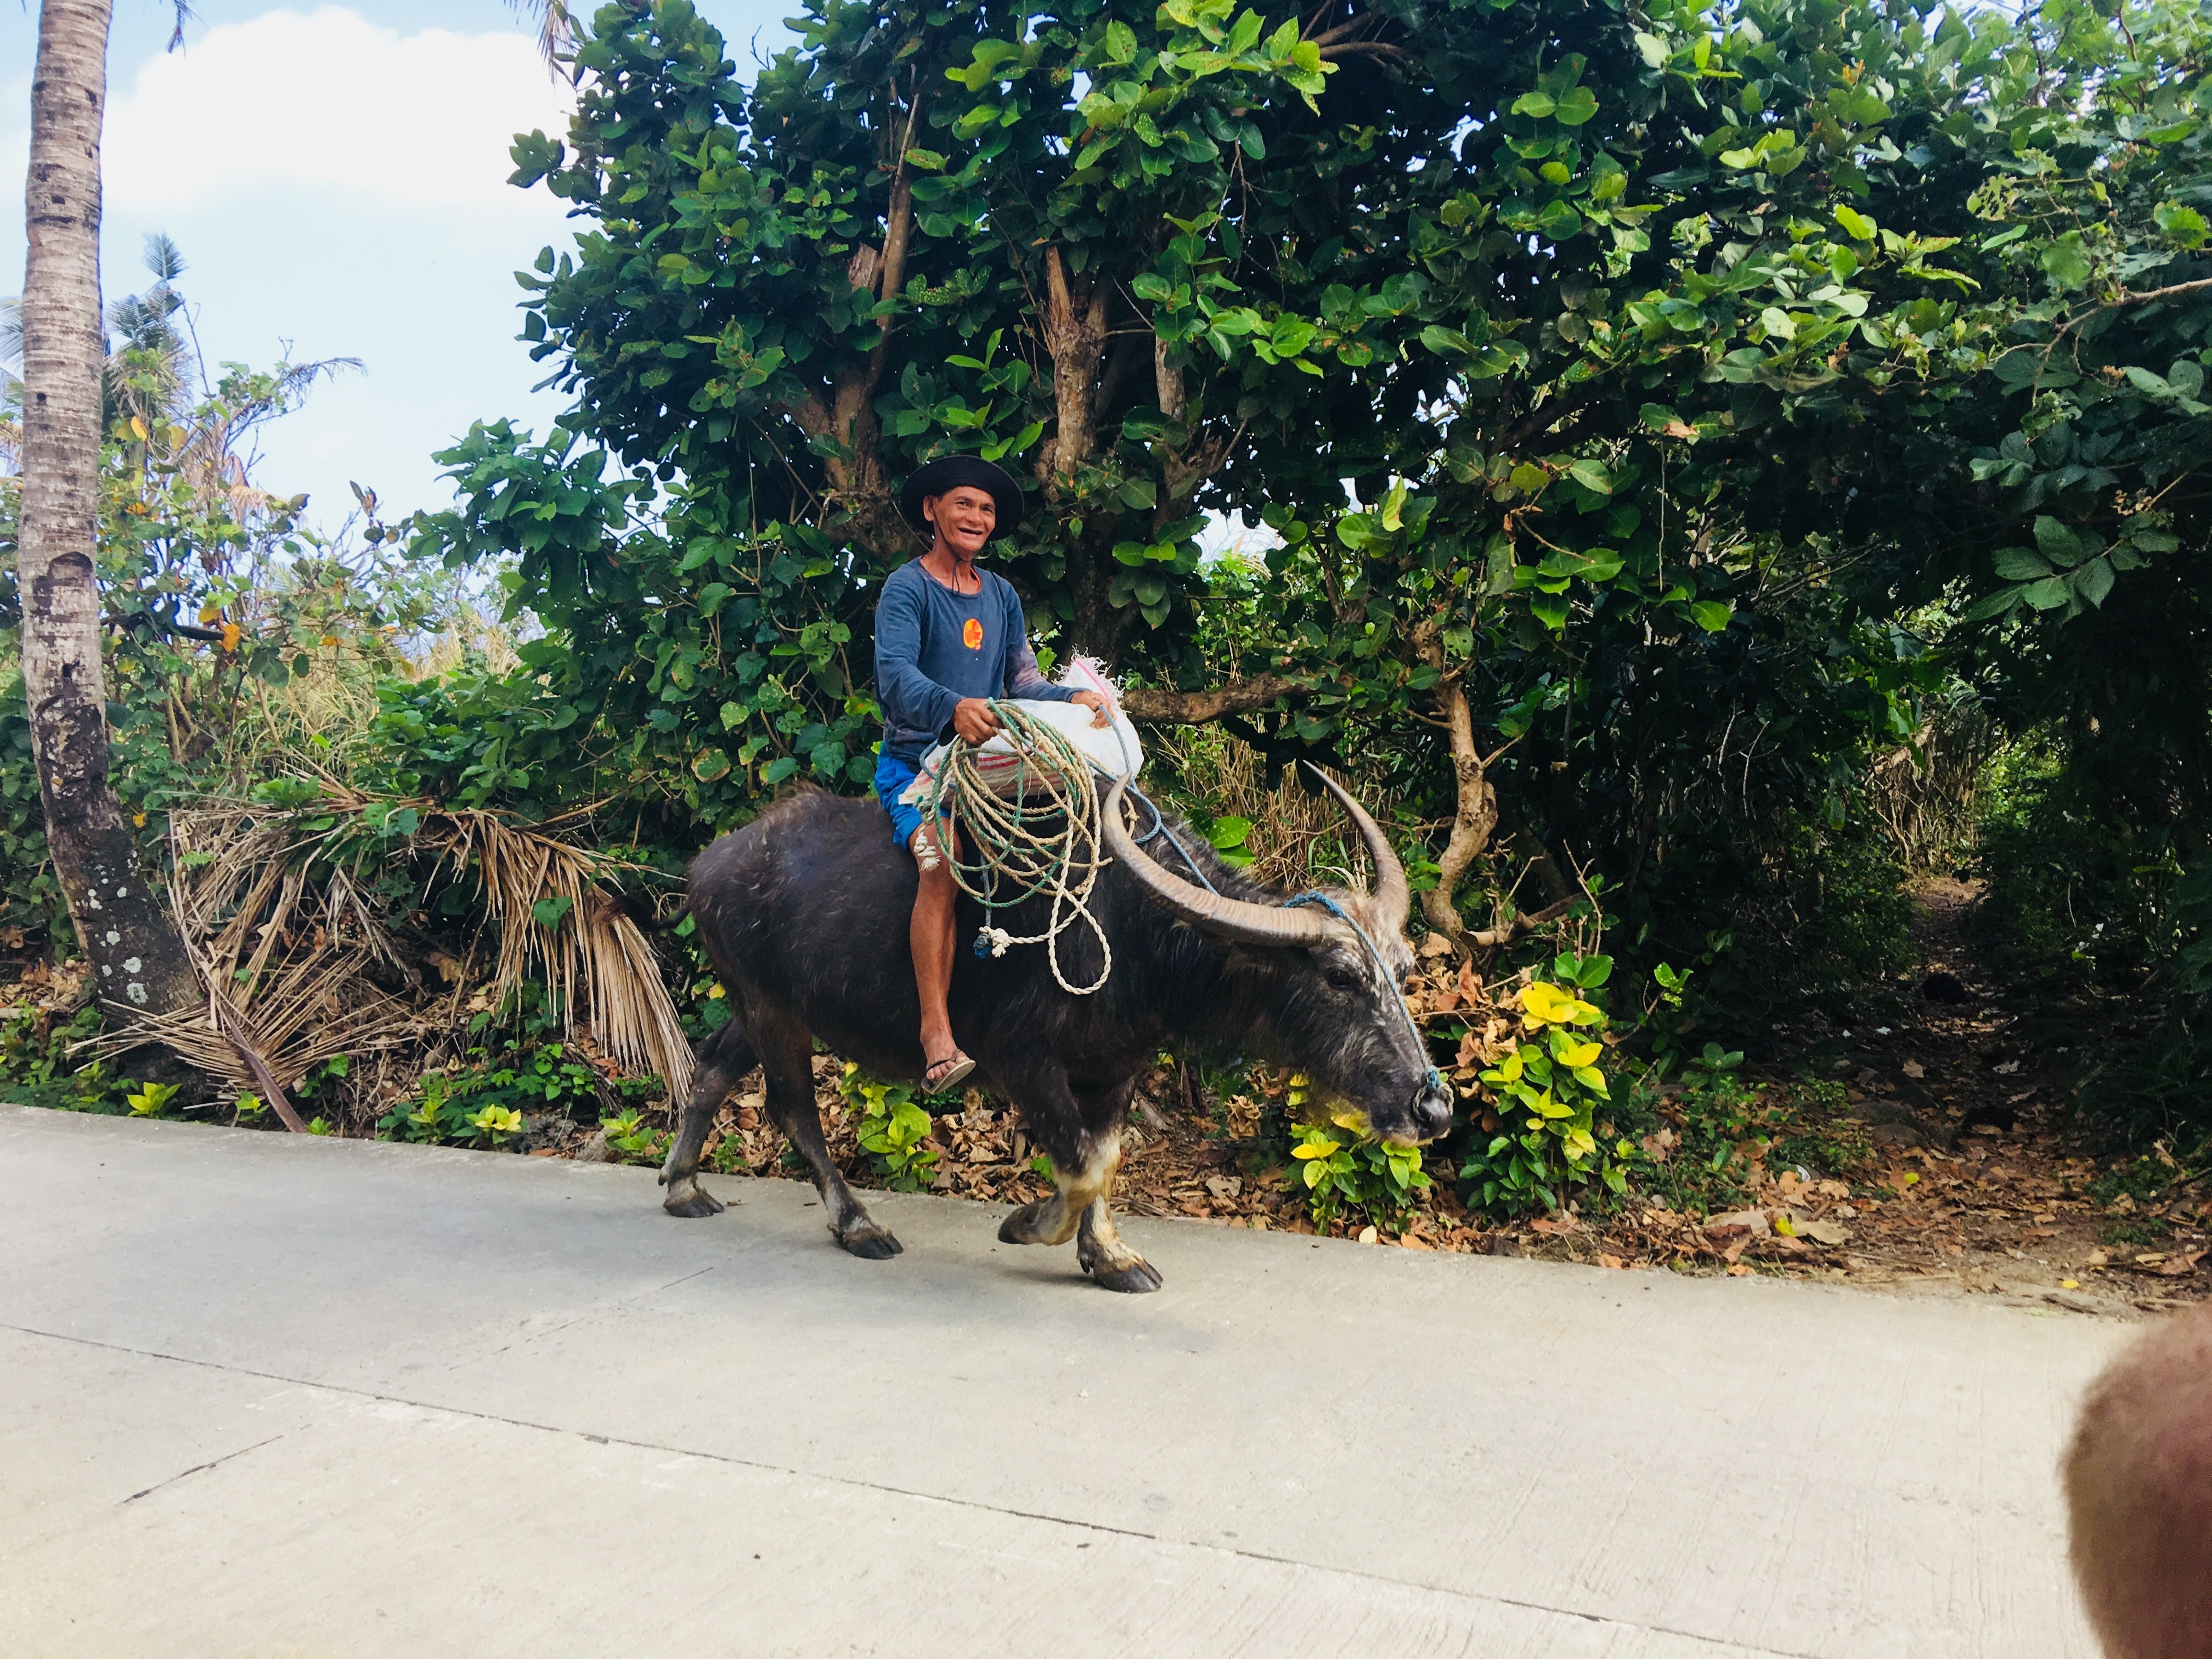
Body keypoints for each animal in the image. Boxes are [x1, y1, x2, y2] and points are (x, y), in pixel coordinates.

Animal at [654, 770, 1451, 1300]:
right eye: (1339, 976)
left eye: (1404, 968)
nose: (1432, 1107)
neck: (1134, 934)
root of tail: (708, 863)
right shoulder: (1022, 1061)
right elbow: (1083, 1163)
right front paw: (1026, 1225)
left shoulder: (1116, 1070)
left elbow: (1106, 1155)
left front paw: (1111, 1258)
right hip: (772, 1011)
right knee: (793, 1108)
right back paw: (857, 1225)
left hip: (759, 1005)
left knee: (712, 1065)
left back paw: (682, 1185)